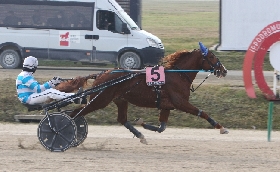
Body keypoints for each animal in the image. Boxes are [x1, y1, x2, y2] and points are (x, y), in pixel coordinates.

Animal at [58, 42, 229, 144]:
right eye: (212, 56)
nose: (224, 70)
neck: (178, 75)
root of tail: (101, 74)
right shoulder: (180, 102)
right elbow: (202, 112)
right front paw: (221, 127)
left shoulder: (167, 105)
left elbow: (162, 127)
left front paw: (142, 122)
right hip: (101, 99)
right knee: (76, 114)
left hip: (120, 99)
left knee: (122, 119)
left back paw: (141, 135)